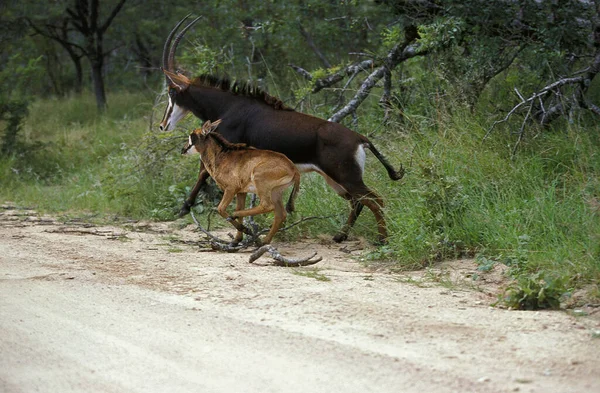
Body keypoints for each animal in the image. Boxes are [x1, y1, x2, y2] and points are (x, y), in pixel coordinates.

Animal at [161, 14, 404, 242]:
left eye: (171, 92)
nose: (163, 125)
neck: (228, 106)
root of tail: (361, 138)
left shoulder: (228, 148)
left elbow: (203, 172)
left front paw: (184, 207)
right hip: (335, 180)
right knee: (359, 202)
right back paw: (340, 236)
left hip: (347, 178)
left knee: (374, 199)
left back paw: (381, 239)